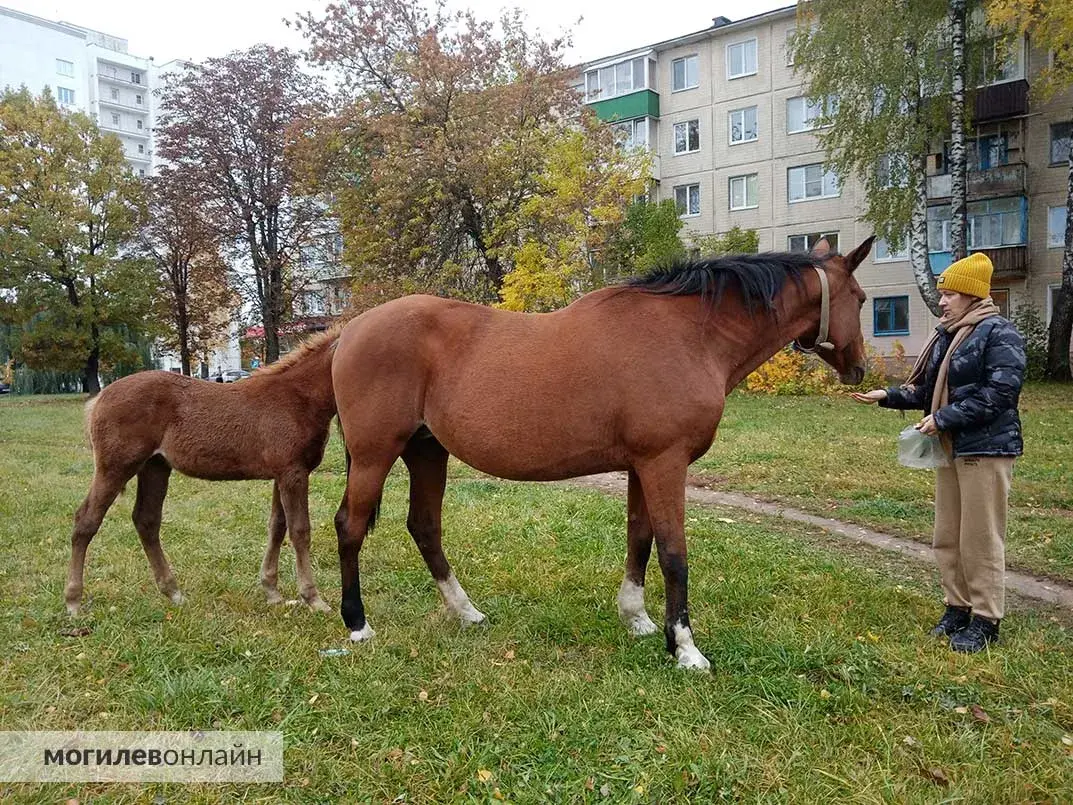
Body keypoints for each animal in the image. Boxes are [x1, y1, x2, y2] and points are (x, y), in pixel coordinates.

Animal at [64, 328, 341, 618]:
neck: (299, 397)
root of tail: (99, 398)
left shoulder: (283, 474)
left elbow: (277, 526)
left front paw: (272, 592)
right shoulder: (293, 474)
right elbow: (299, 531)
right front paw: (313, 598)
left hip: (155, 467)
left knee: (146, 521)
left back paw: (173, 592)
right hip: (115, 468)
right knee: (86, 521)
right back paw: (73, 601)